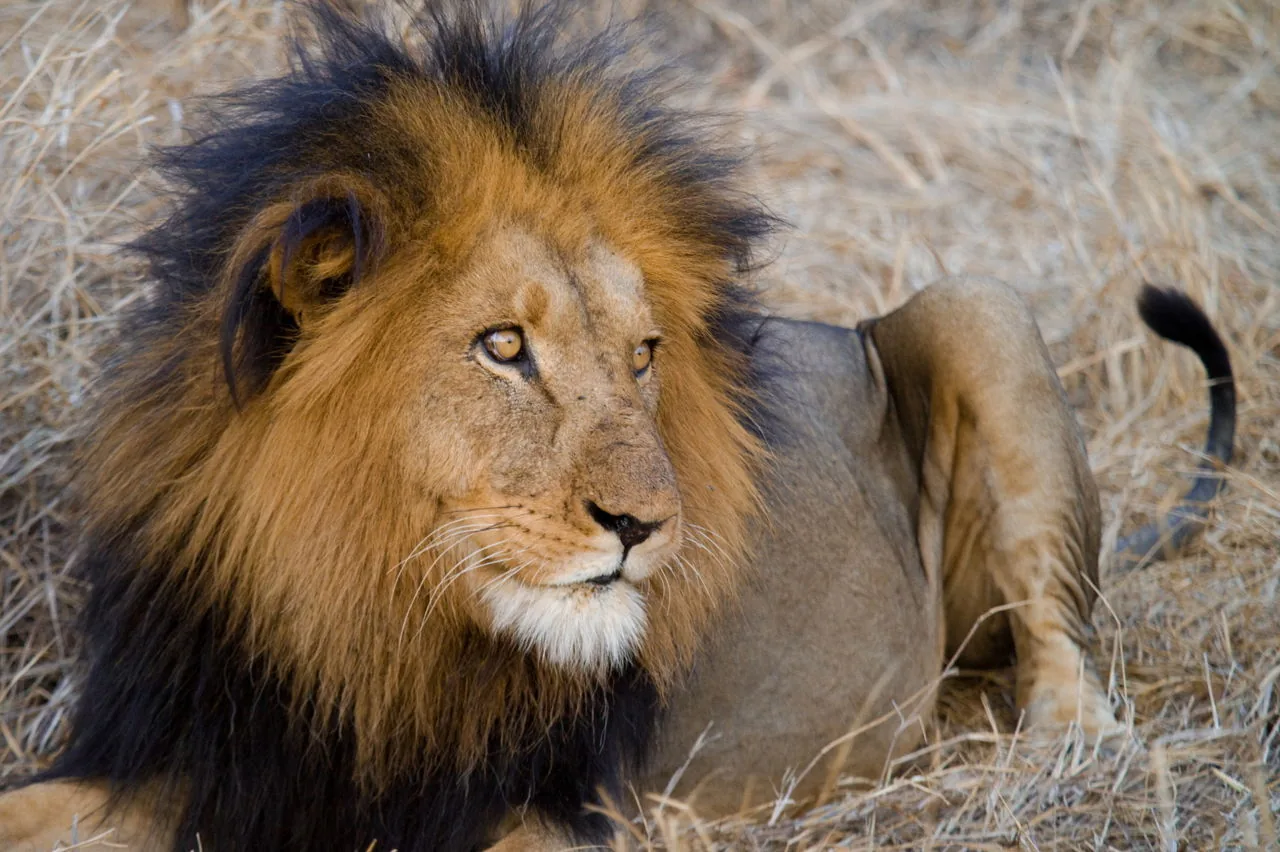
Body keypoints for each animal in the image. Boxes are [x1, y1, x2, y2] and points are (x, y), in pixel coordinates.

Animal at [0, 2, 1235, 850]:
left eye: (644, 356)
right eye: (504, 347)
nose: (647, 526)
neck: (358, 608)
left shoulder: (566, 812)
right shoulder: (196, 755)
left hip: (979, 307)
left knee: (1061, 646)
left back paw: (1064, 751)